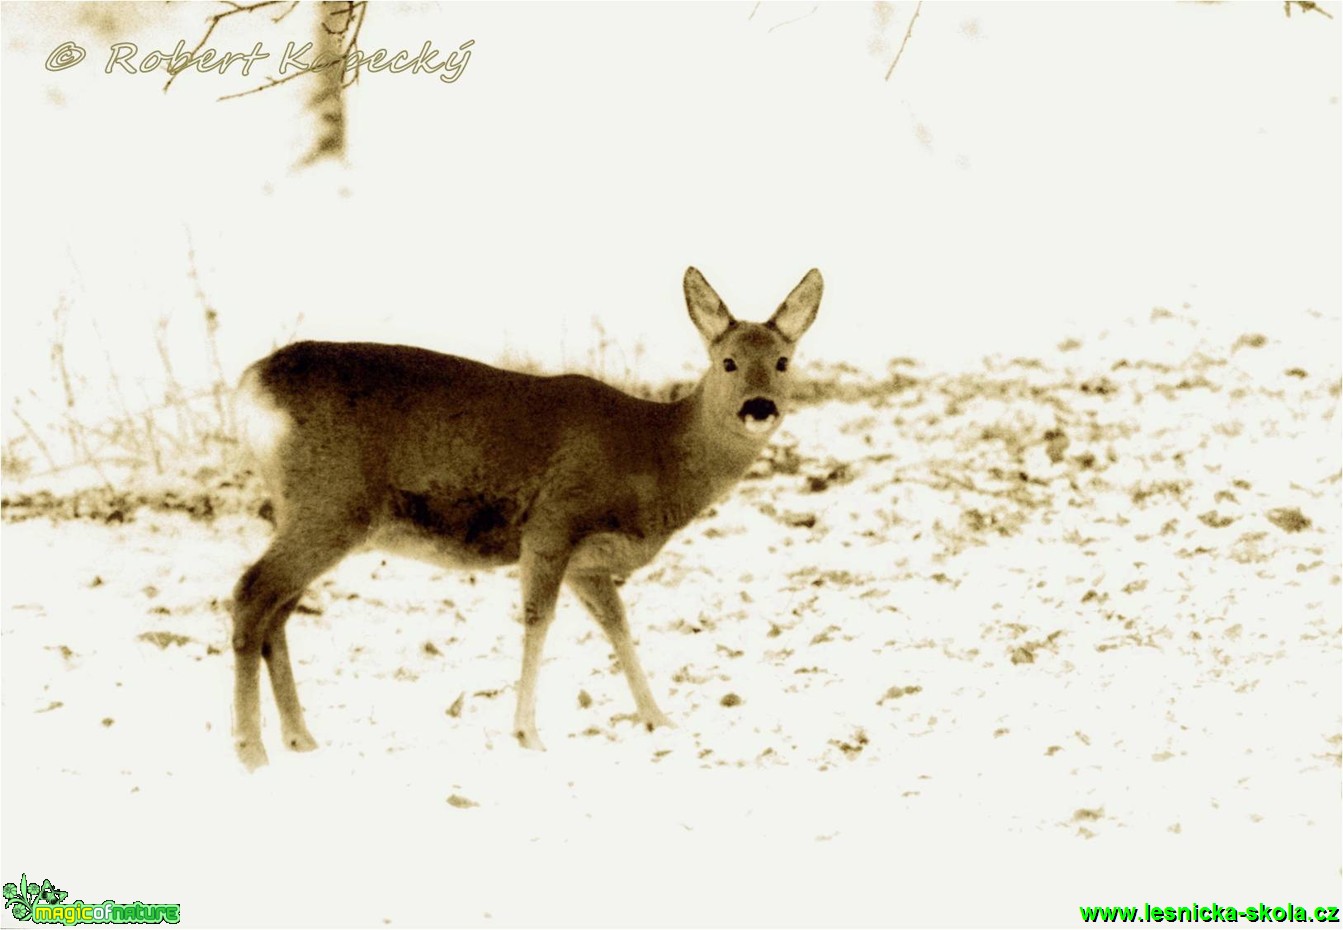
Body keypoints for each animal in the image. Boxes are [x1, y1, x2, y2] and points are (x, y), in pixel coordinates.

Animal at [226, 264, 821, 768]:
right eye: (728, 362)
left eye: (783, 362)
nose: (759, 407)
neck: (653, 453)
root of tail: (251, 386)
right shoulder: (553, 523)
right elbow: (538, 620)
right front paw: (527, 733)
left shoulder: (588, 562)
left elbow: (617, 625)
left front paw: (659, 719)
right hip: (330, 502)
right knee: (252, 592)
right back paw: (252, 750)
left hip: (308, 510)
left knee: (277, 609)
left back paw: (299, 738)